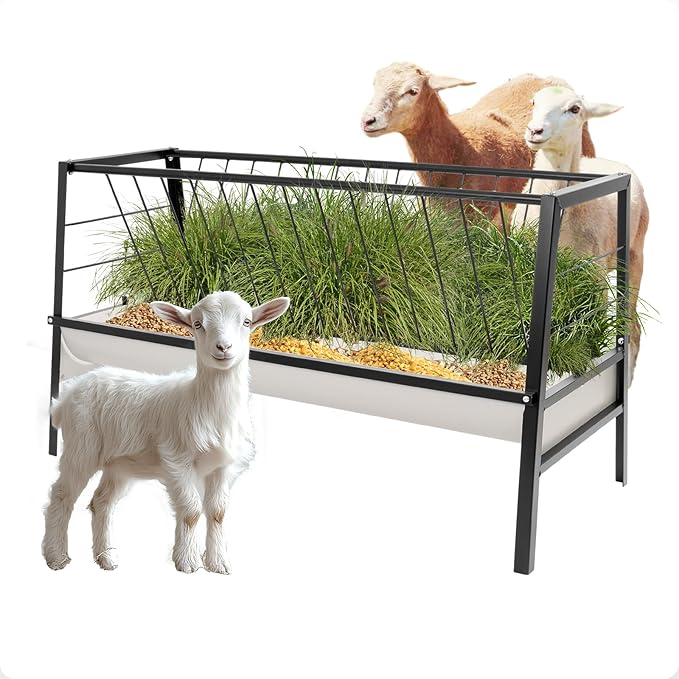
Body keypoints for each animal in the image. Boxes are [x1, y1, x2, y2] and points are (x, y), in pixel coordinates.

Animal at [42, 291, 290, 573]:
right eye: (197, 324)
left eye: (247, 322)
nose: (223, 347)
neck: (207, 406)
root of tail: (66, 395)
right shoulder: (178, 460)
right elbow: (191, 511)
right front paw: (188, 562)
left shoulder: (223, 467)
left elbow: (217, 512)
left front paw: (218, 563)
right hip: (82, 445)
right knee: (62, 495)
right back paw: (56, 557)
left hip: (119, 464)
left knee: (101, 501)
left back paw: (106, 558)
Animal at [516, 86, 649, 381]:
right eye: (534, 101)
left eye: (574, 109)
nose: (534, 130)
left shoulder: (594, 275)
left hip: (635, 253)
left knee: (632, 330)